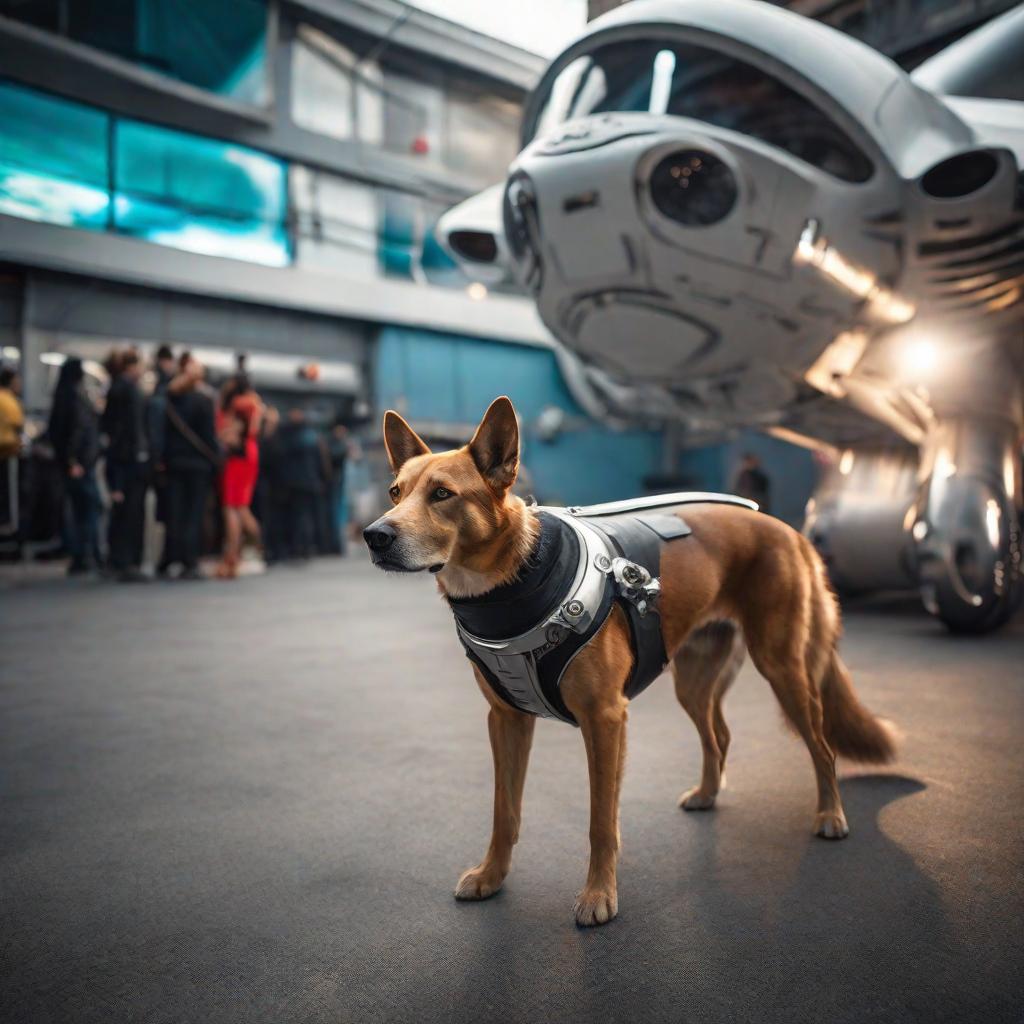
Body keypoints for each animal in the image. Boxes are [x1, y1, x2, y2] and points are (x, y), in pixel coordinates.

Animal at [364, 395, 892, 925]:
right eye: (395, 492)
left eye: (442, 494)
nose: (373, 535)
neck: (515, 579)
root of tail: (787, 529)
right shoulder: (506, 720)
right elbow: (504, 810)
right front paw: (492, 876)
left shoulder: (605, 720)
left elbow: (601, 821)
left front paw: (599, 895)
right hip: (693, 681)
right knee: (719, 736)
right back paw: (708, 794)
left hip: (781, 667)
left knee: (822, 746)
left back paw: (830, 815)